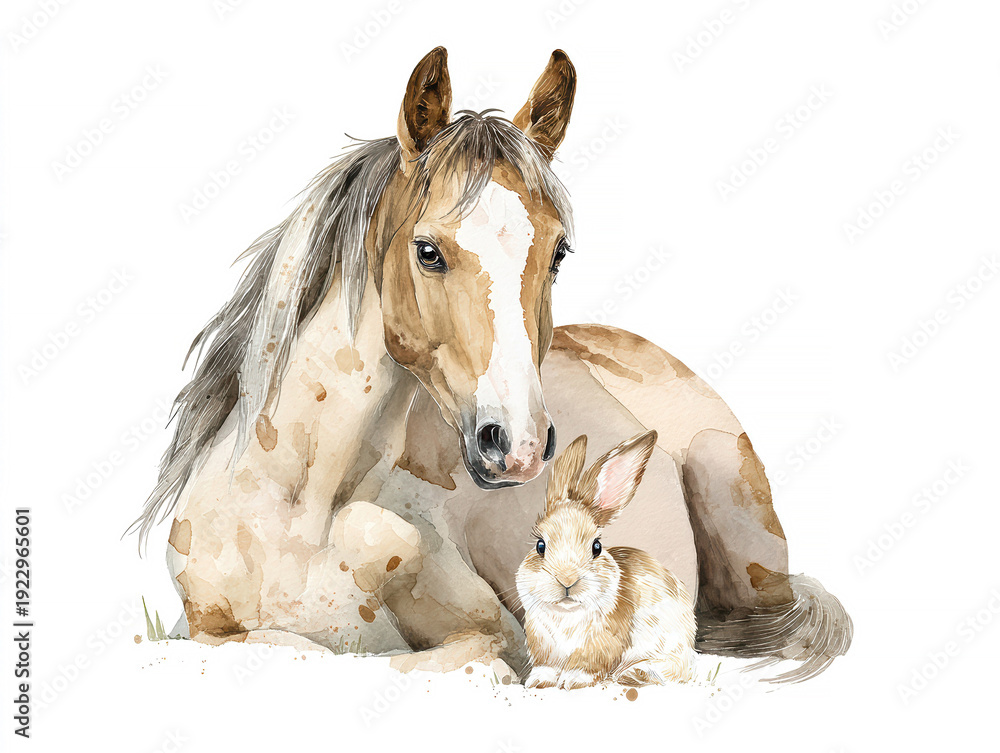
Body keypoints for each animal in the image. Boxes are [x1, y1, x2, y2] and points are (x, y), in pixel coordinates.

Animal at [133, 48, 852, 682]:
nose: (519, 445)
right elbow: (273, 647)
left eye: (558, 253)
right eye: (427, 250)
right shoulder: (195, 626)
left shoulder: (501, 635)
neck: (298, 507)